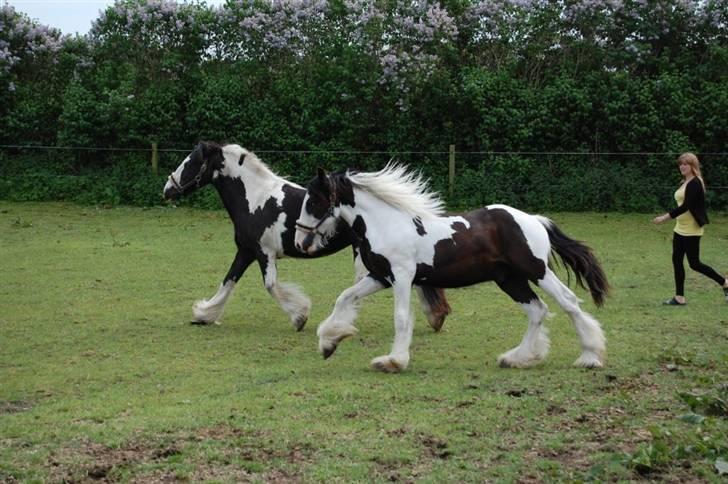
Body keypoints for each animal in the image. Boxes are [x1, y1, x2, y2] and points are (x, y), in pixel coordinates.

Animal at [162, 142, 452, 330]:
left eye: (190, 162)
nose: (167, 189)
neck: (256, 199)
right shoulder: (246, 251)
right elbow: (228, 282)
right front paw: (203, 315)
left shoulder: (263, 253)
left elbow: (270, 285)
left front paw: (300, 317)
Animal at [294, 164, 608, 372]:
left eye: (314, 200)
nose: (300, 241)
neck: (386, 223)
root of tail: (534, 220)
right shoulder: (380, 276)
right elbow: (344, 297)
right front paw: (329, 342)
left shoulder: (402, 277)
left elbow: (401, 318)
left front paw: (393, 360)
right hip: (509, 279)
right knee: (537, 310)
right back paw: (517, 358)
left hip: (536, 270)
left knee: (567, 301)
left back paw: (590, 356)